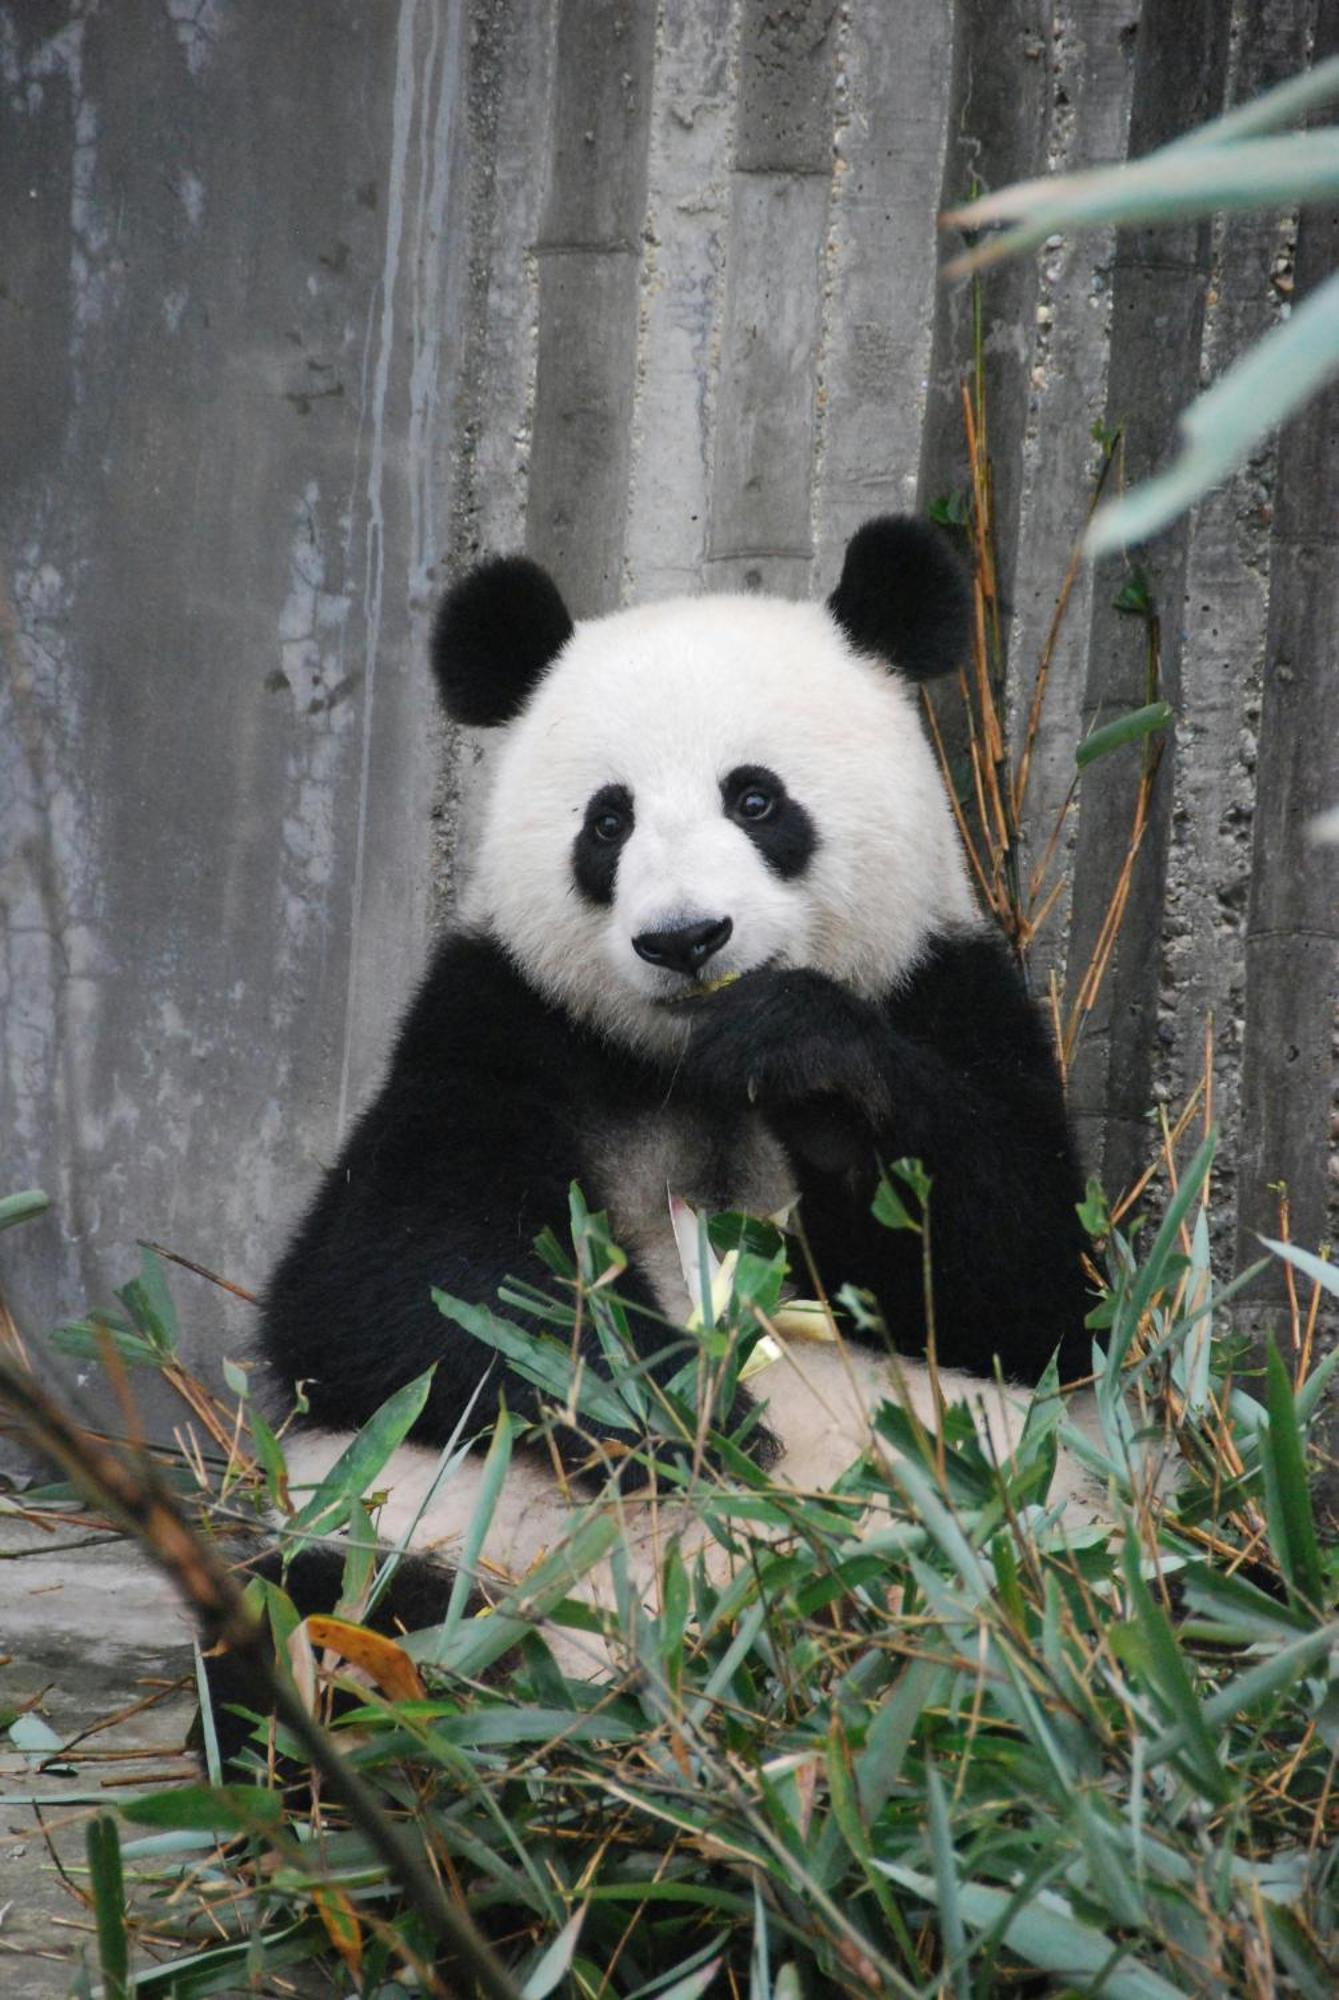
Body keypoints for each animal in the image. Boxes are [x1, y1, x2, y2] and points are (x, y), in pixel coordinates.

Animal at [238, 516, 1103, 1688]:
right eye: (608, 822)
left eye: (756, 798)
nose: (685, 938)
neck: (687, 1060)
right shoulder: (496, 1022)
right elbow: (389, 1286)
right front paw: (683, 1410)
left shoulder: (946, 990)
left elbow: (1033, 1288)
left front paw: (807, 1059)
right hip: (410, 1530)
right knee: (319, 1615)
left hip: (1018, 1549)